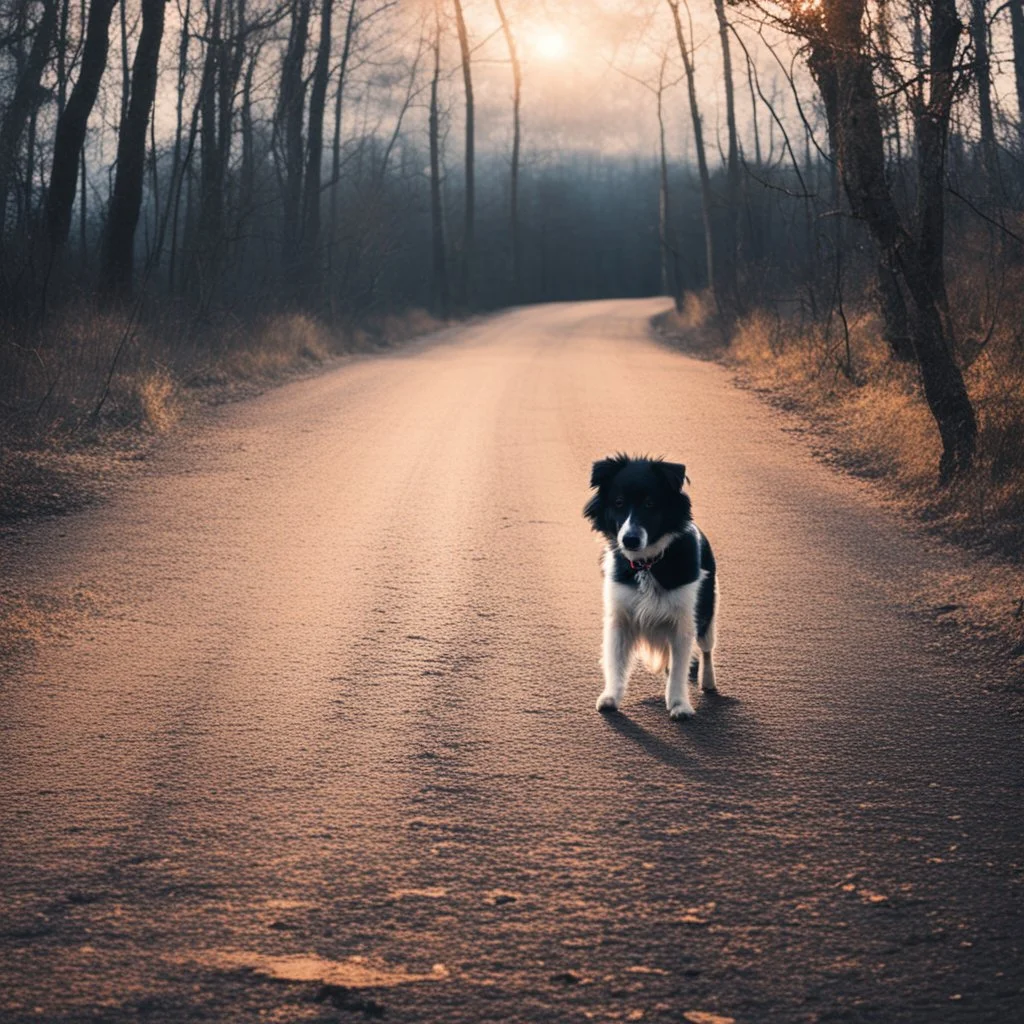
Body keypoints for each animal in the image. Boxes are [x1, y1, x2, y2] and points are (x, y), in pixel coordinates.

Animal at [585, 456, 720, 720]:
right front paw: (611, 696)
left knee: (707, 649)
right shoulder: (619, 617)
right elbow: (615, 660)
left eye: (650, 504)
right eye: (618, 502)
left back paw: (708, 681)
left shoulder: (684, 621)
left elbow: (679, 668)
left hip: (707, 612)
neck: (647, 563)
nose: (630, 540)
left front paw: (679, 704)